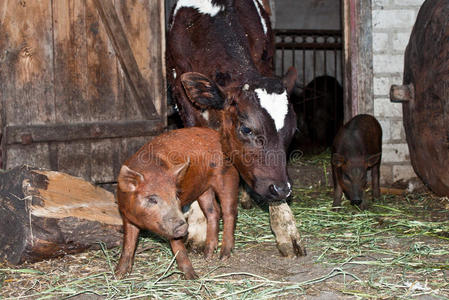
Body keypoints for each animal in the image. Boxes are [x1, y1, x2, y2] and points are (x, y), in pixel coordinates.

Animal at [167, 0, 304, 256]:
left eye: (292, 130)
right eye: (246, 129)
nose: (282, 189)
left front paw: (286, 228)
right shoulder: (182, 95)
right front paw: (199, 228)